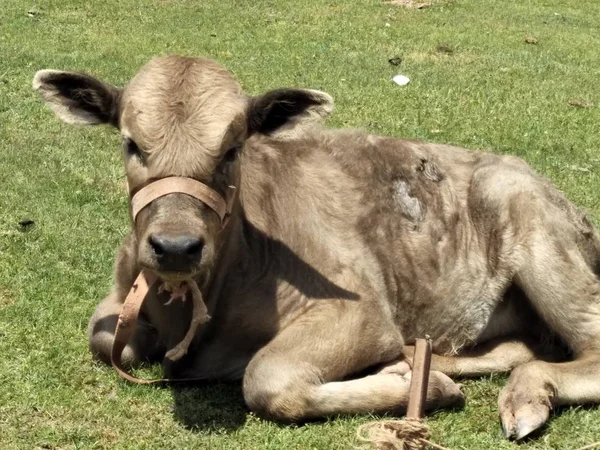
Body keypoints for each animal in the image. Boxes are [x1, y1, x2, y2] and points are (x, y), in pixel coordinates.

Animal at [34, 55, 600, 440]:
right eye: (131, 142)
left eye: (233, 149)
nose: (176, 246)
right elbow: (103, 338)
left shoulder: (362, 312)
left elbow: (268, 379)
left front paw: (428, 391)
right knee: (523, 346)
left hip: (543, 240)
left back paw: (522, 395)